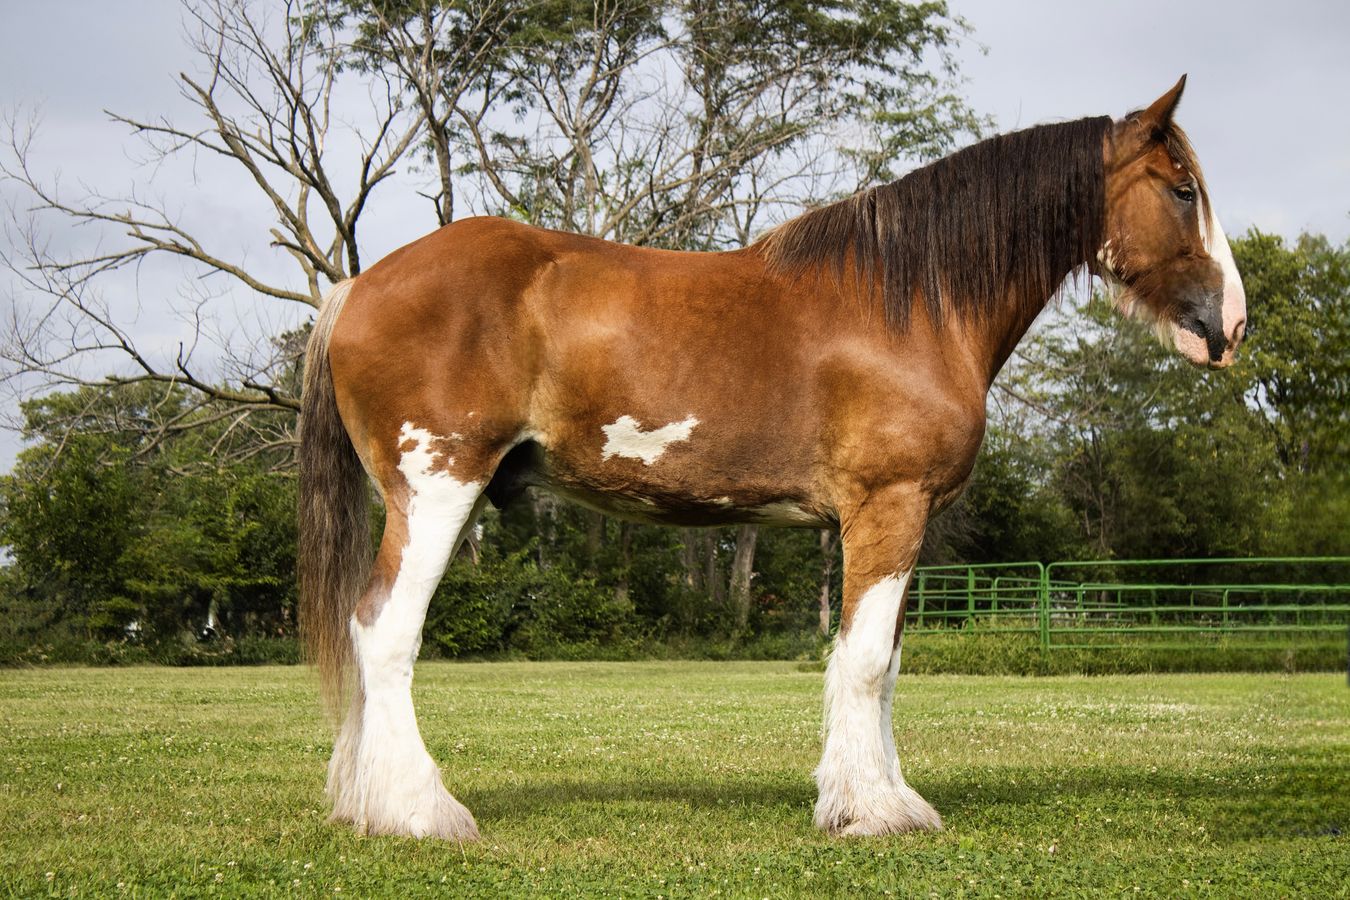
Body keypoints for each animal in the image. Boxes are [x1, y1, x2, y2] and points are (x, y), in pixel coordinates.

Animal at [297, 76, 1246, 840]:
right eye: (1182, 188)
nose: (1229, 326)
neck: (916, 304)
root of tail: (357, 286)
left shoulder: (899, 522)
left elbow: (888, 666)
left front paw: (886, 798)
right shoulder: (886, 507)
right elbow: (862, 664)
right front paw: (870, 813)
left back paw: (365, 803)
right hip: (437, 487)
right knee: (384, 631)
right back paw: (421, 812)